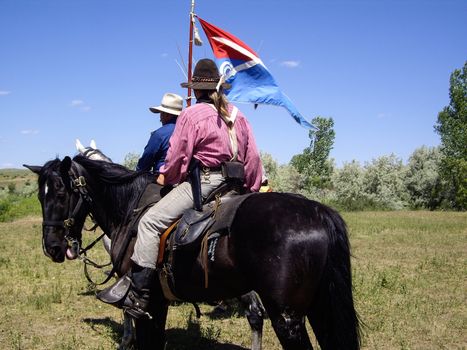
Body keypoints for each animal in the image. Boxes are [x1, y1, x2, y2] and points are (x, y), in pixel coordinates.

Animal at [24, 156, 362, 350]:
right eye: (40, 195)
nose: (52, 247)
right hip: (318, 307)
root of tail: (319, 212)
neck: (129, 209)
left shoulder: (146, 301)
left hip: (287, 318)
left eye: (61, 192)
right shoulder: (156, 304)